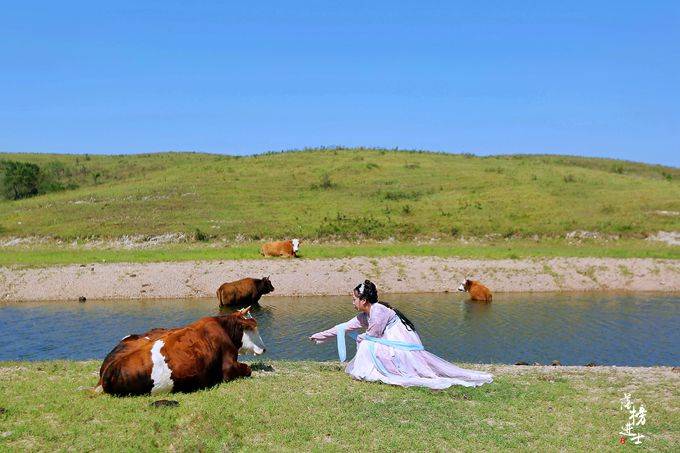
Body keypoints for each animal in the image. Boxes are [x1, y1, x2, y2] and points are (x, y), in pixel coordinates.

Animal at [96, 306, 266, 394]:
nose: (264, 349)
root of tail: (107, 370)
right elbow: (248, 369)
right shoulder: (229, 367)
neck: (223, 327)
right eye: (252, 328)